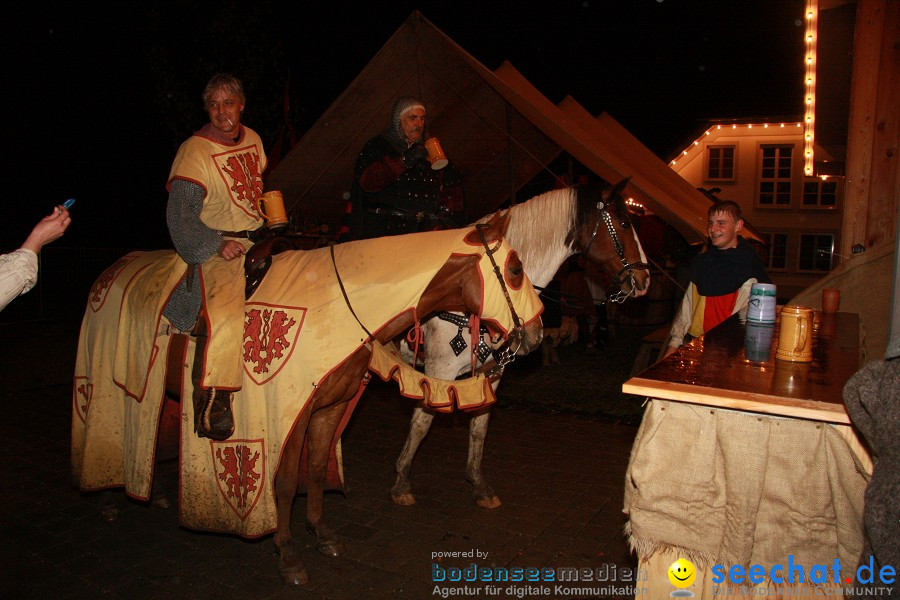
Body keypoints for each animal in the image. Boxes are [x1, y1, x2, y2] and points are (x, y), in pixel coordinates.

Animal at [70, 214, 540, 584]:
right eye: (515, 269)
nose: (536, 334)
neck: (336, 305)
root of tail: (110, 271)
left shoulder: (329, 409)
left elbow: (314, 469)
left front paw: (322, 533)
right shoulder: (287, 416)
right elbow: (283, 481)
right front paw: (288, 554)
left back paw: (154, 492)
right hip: (106, 382)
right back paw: (108, 497)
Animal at [390, 178, 652, 506]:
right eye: (626, 223)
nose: (645, 280)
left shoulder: (491, 372)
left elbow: (480, 425)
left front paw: (479, 485)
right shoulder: (440, 371)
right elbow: (421, 423)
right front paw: (402, 482)